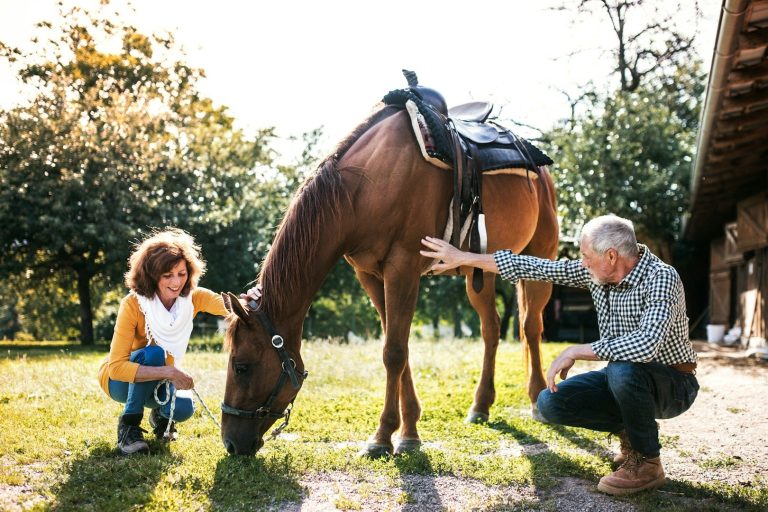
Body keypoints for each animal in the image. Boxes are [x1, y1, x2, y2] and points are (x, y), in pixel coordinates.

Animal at [220, 101, 558, 456]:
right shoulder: (370, 274)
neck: (361, 190)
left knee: (530, 327)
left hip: (540, 256)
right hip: (481, 271)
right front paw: (408, 430)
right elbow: (398, 347)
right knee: (491, 329)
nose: (230, 443)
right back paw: (481, 405)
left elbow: (394, 352)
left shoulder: (403, 268)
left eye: (241, 366)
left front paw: (383, 436)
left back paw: (536, 396)